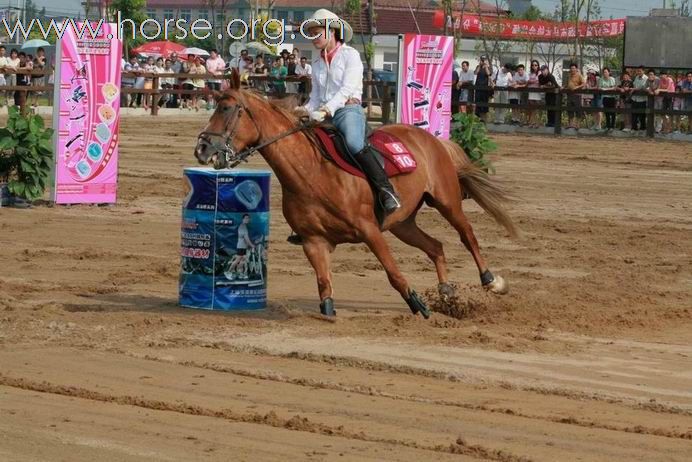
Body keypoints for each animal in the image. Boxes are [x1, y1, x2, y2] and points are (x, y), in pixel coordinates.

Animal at [192, 72, 516, 318]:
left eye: (226, 109)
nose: (202, 149)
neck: (312, 172)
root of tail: (434, 140)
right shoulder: (314, 242)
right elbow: (324, 286)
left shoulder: (369, 230)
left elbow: (392, 272)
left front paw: (417, 304)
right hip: (402, 224)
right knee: (435, 247)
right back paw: (447, 293)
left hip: (446, 202)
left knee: (467, 236)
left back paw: (491, 281)